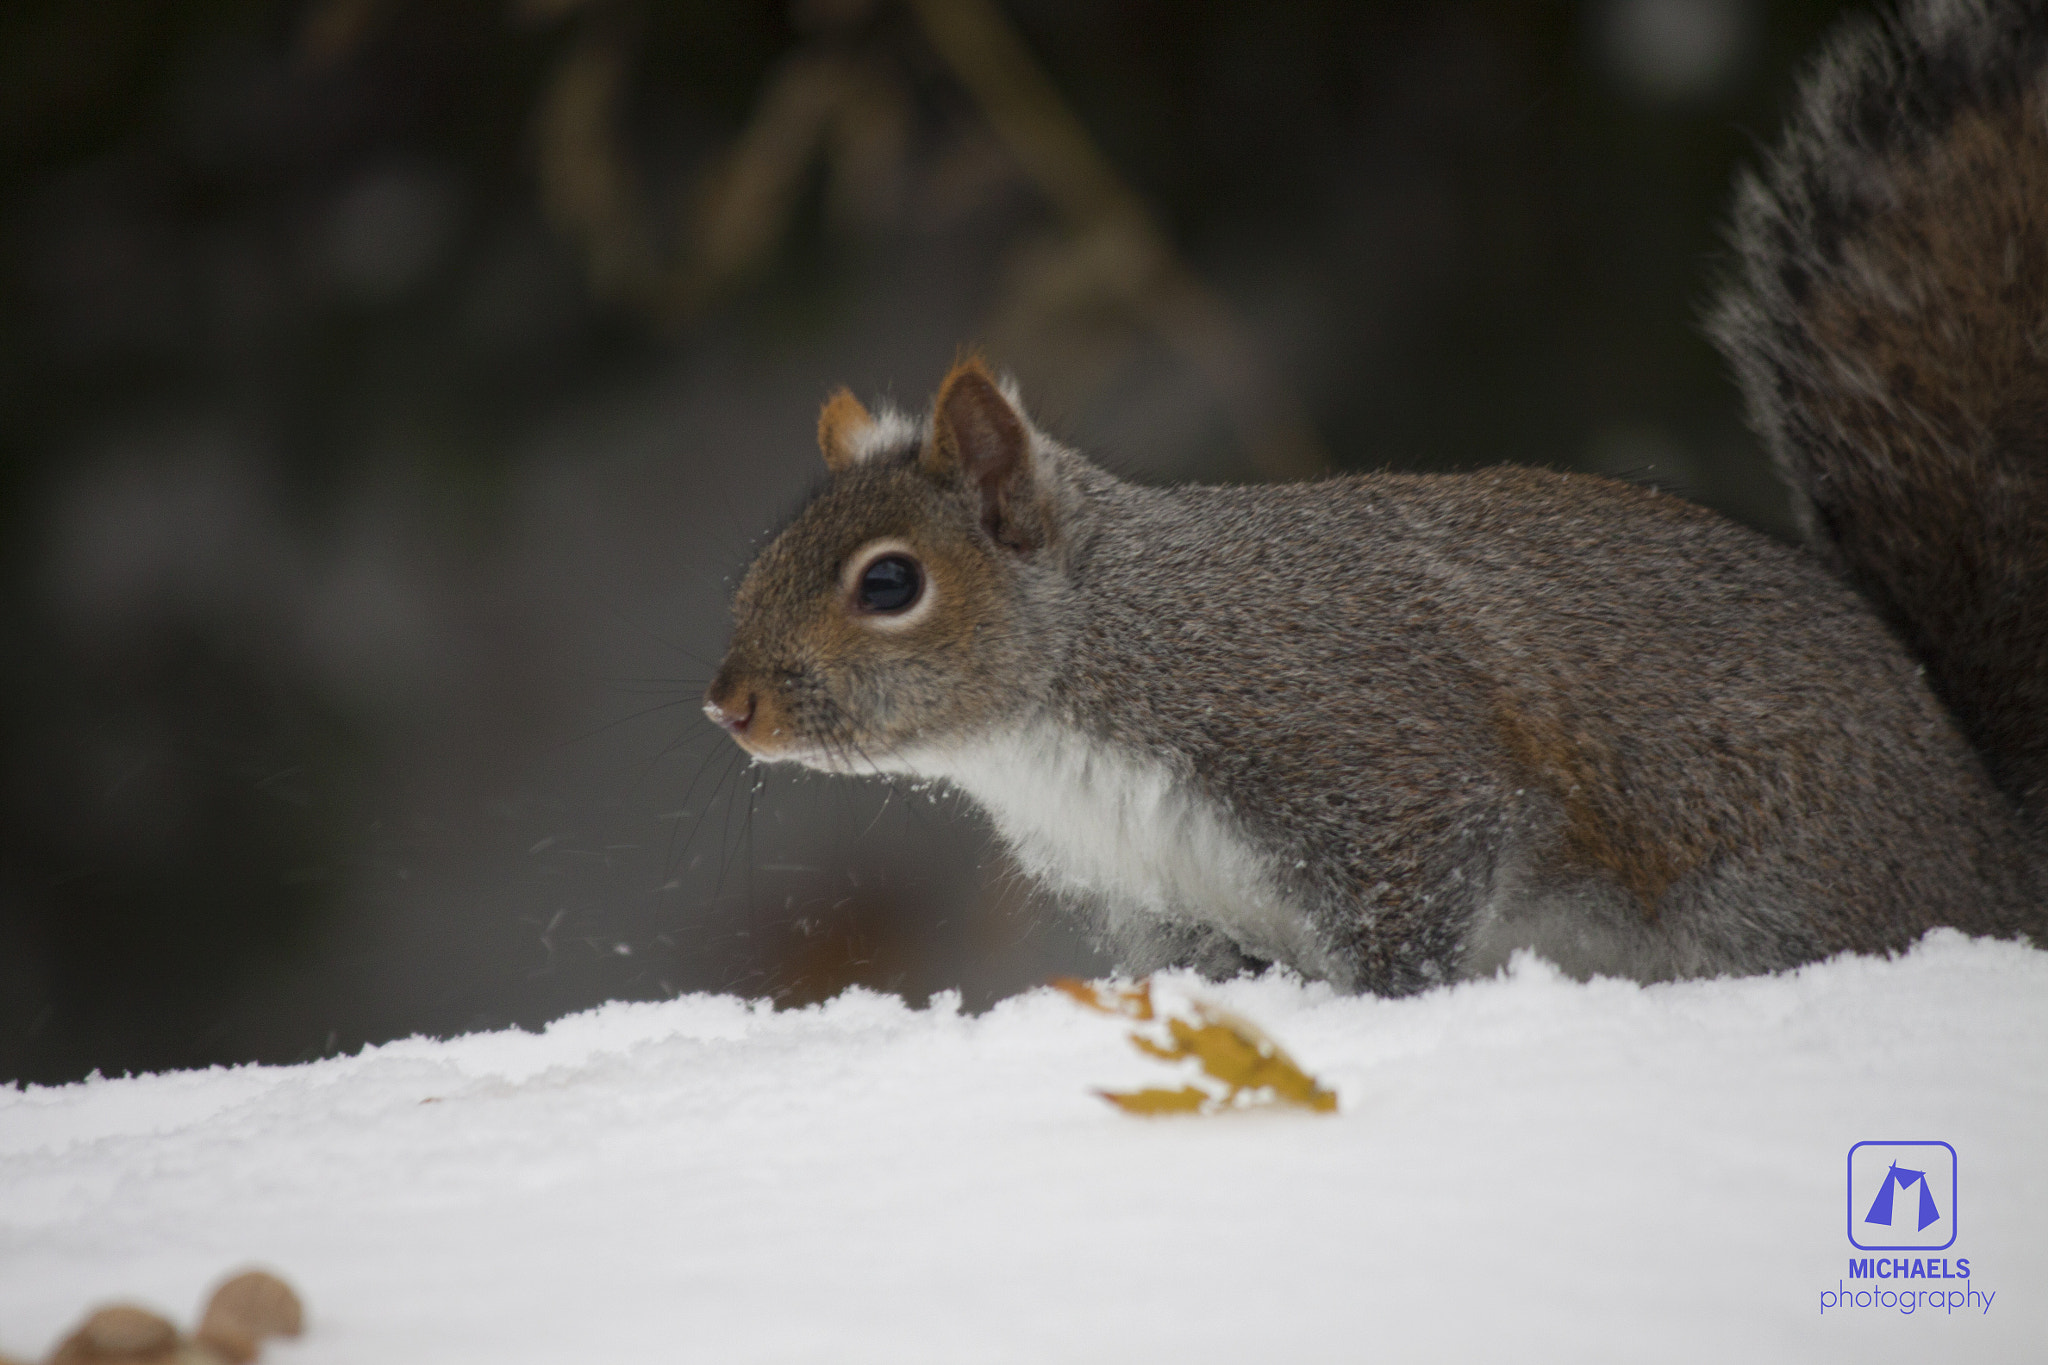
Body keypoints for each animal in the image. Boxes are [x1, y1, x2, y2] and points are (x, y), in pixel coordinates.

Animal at [704, 0, 2048, 994]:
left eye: (889, 582)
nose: (729, 706)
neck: (1067, 700)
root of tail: (1990, 841)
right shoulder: (1160, 899)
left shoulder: (1374, 766)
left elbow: (1410, 912)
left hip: (1772, 894)